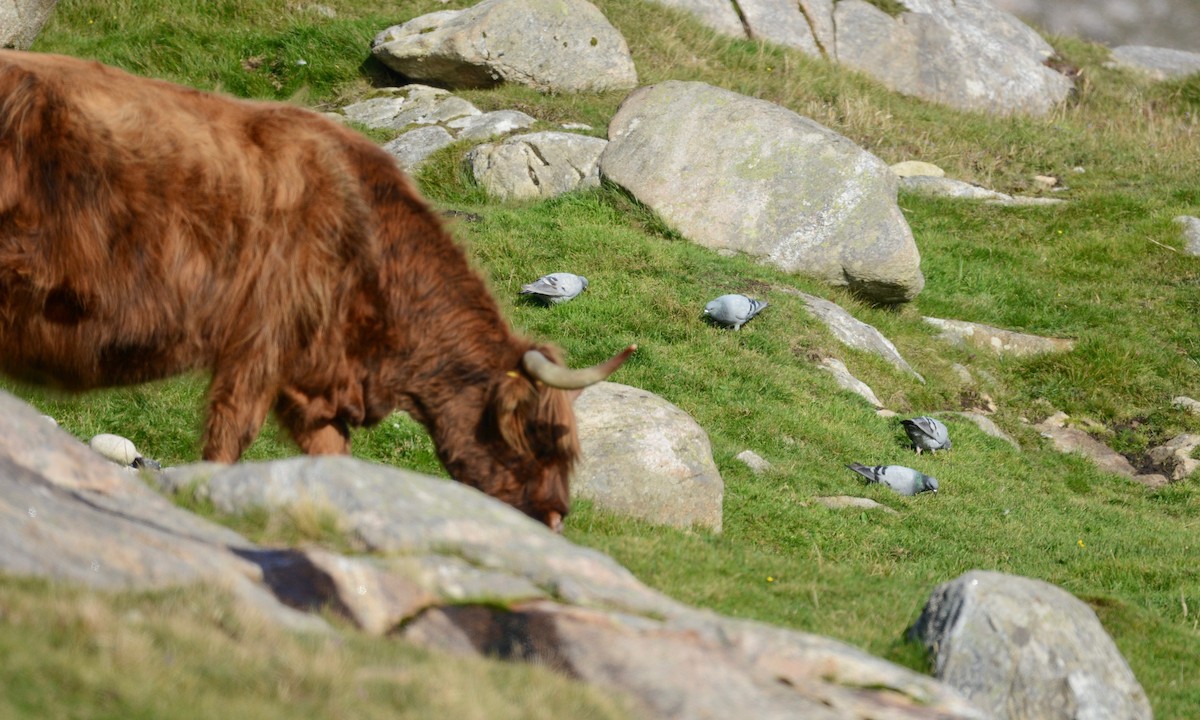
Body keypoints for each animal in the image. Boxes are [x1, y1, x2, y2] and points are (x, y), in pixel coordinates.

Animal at [0, 50, 633, 530]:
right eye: (539, 437)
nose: (555, 516)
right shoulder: (259, 349)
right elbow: (226, 444)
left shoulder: (309, 383)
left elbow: (335, 464)